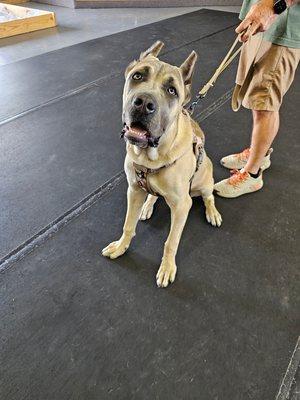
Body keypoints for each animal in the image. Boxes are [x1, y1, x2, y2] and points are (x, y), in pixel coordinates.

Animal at [102, 41, 221, 288]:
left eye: (172, 90)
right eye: (137, 76)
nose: (144, 103)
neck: (150, 157)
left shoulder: (182, 205)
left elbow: (171, 242)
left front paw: (167, 268)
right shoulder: (134, 190)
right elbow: (128, 224)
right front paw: (121, 246)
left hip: (206, 180)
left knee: (209, 196)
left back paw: (212, 212)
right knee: (153, 195)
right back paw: (148, 205)